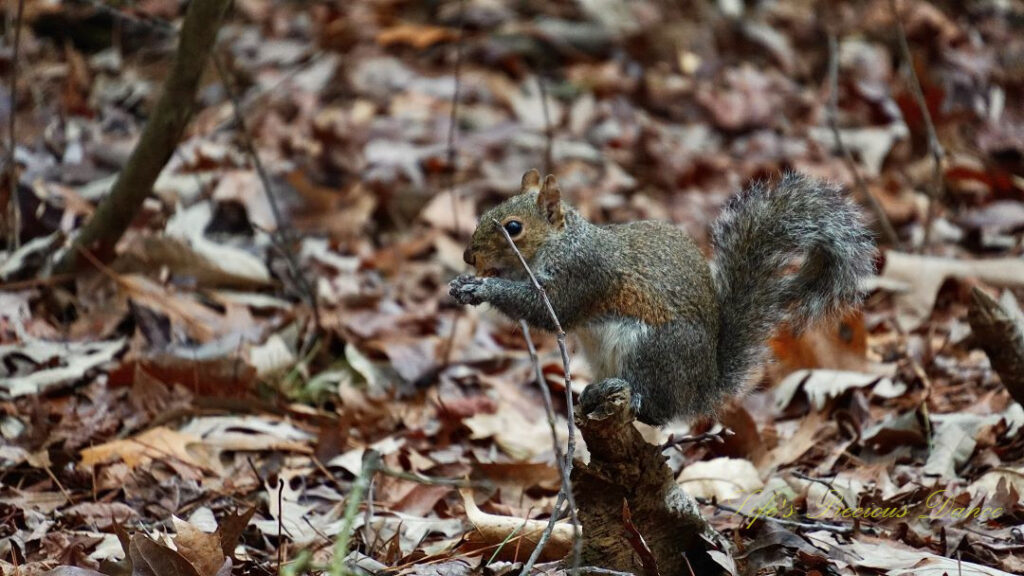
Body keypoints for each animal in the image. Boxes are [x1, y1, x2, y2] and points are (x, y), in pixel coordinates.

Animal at [452, 168, 876, 424]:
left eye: (513, 227)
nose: (469, 256)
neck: (561, 242)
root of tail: (701, 390)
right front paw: (463, 283)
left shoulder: (583, 274)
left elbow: (547, 308)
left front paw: (483, 287)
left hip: (652, 350)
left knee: (657, 412)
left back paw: (632, 399)